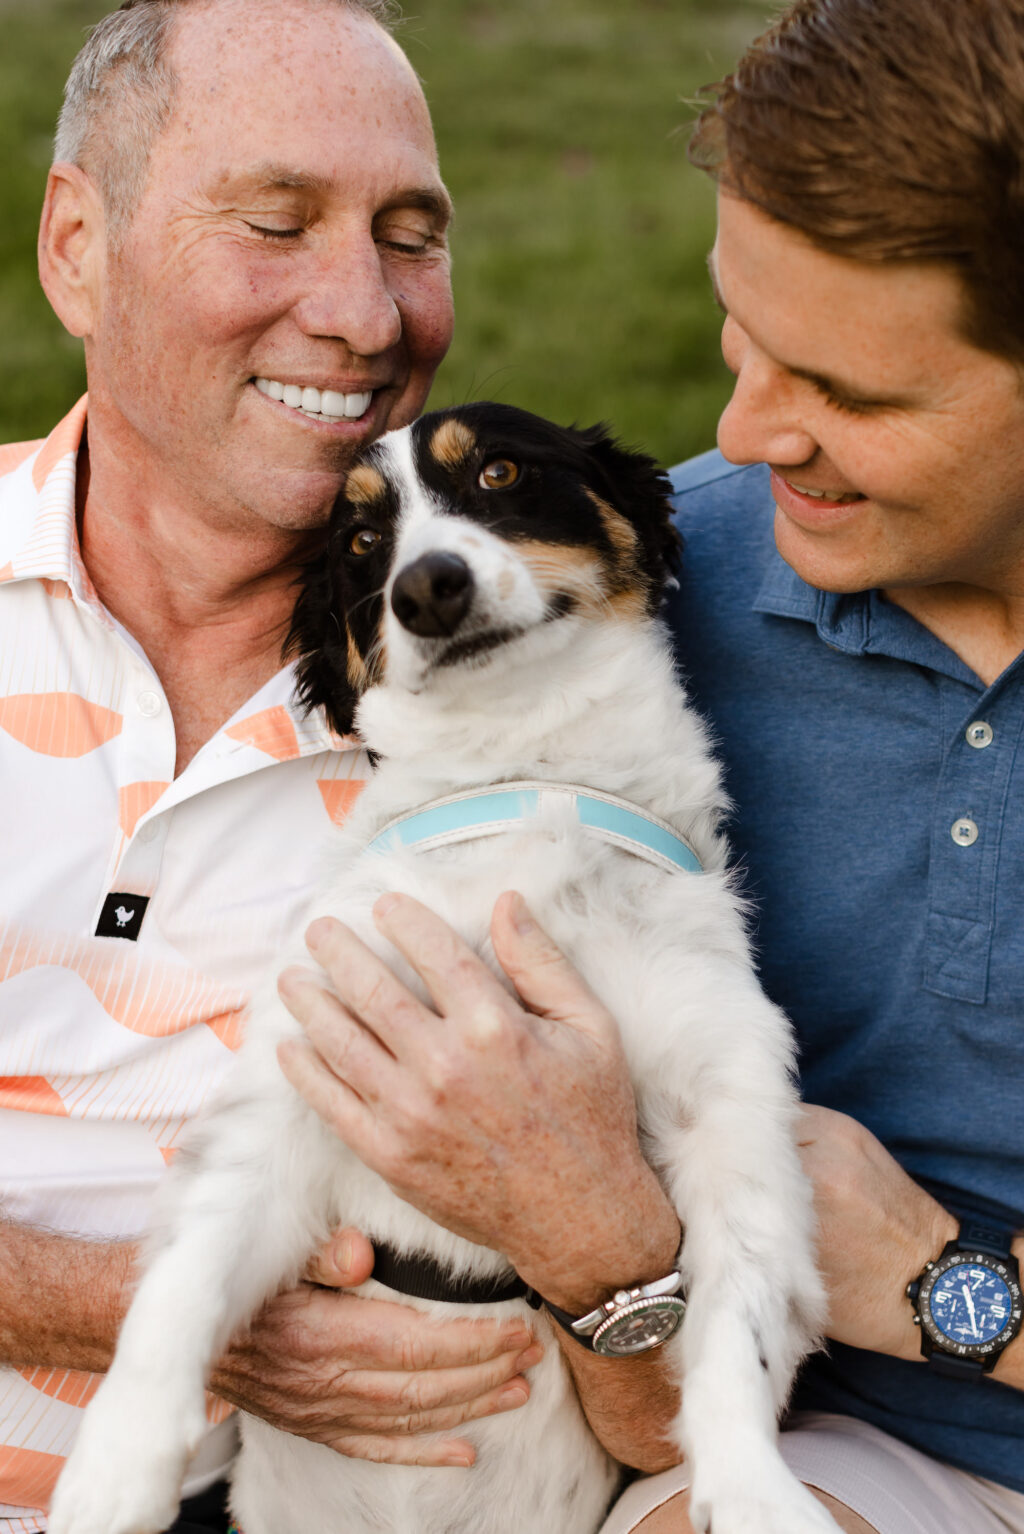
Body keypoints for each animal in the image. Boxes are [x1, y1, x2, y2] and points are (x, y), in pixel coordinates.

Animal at [47, 404, 833, 1534]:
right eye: (361, 542)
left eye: (499, 472)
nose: (426, 587)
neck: (527, 779)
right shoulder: (291, 1090)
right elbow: (183, 1281)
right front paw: (113, 1471)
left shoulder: (730, 1115)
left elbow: (738, 1328)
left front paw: (758, 1492)